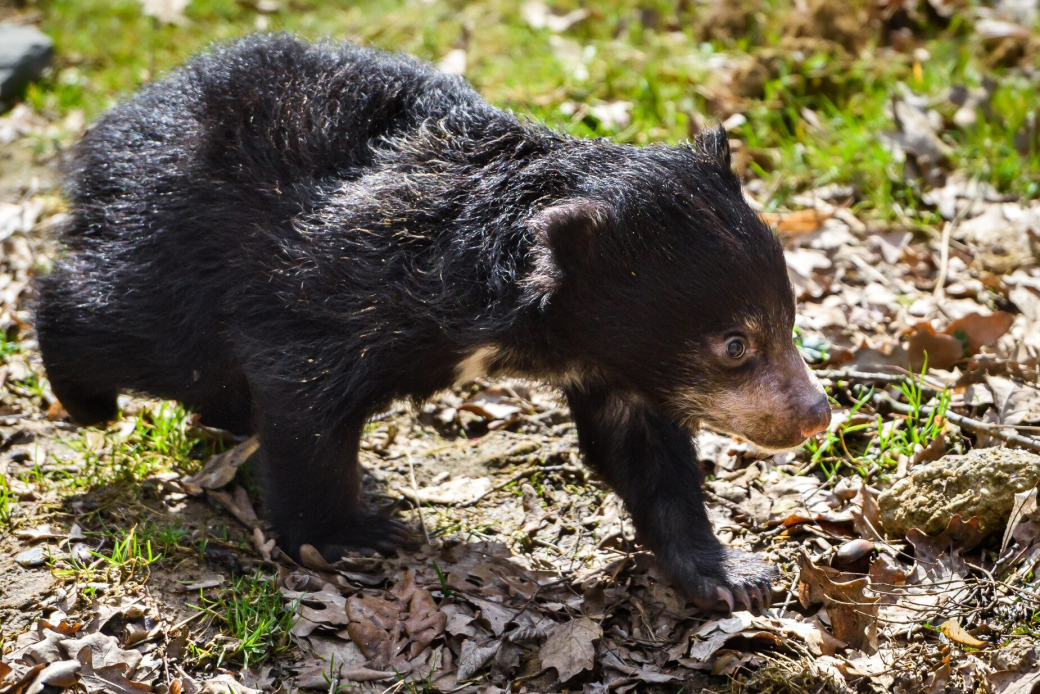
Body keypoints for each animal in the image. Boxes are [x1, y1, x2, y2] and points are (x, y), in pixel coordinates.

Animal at [34, 35, 827, 615]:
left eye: (788, 323)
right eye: (736, 346)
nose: (816, 414)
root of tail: (118, 125)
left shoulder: (615, 364)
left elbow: (646, 454)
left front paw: (730, 574)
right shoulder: (340, 296)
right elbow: (305, 402)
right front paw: (348, 538)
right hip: (184, 252)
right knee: (129, 329)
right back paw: (81, 390)